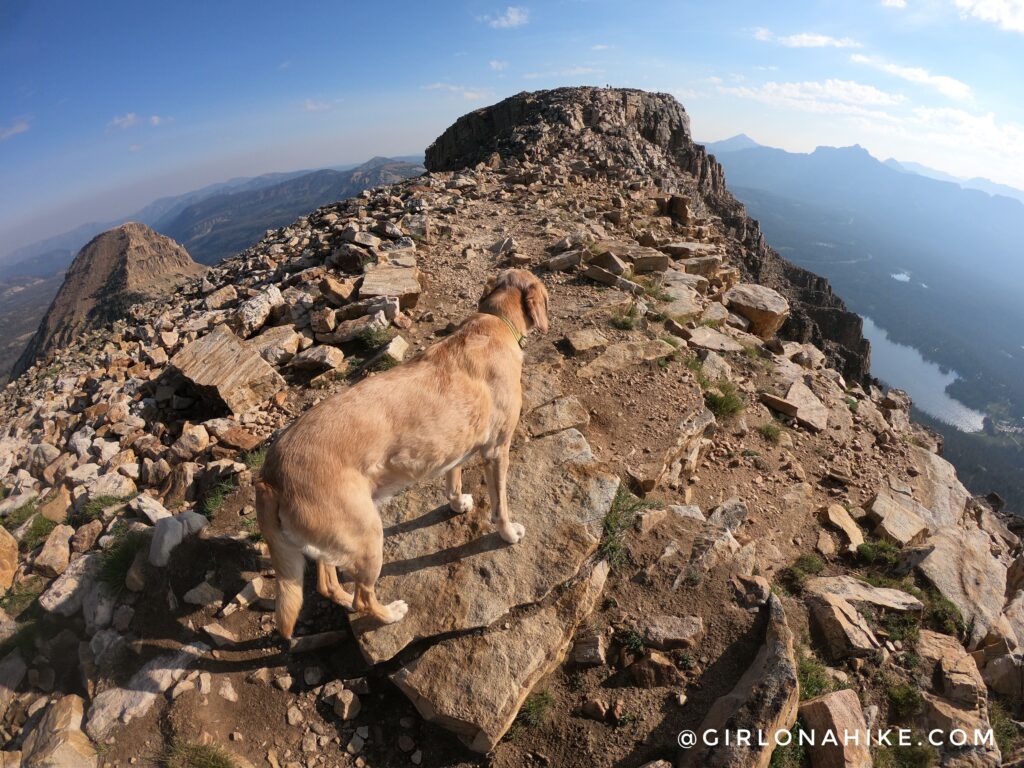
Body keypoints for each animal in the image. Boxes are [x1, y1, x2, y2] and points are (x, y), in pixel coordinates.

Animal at [256, 268, 552, 638]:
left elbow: (453, 479)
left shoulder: (455, 445)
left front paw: (458, 503)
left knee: (328, 582)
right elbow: (500, 507)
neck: (494, 320)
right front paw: (508, 534)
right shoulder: (497, 451)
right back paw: (389, 614)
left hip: (335, 538)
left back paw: (342, 600)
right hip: (368, 537)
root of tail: (269, 476)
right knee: (363, 597)